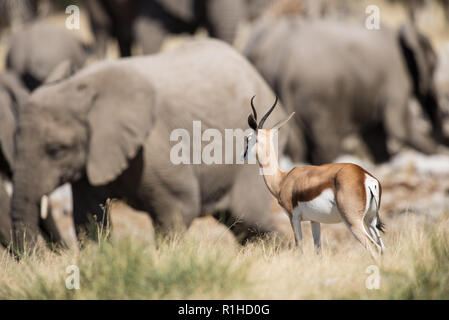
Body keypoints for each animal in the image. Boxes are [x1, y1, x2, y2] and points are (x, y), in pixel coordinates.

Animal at [9, 39, 294, 250]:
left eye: (56, 151)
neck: (78, 87)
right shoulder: (90, 160)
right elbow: (89, 219)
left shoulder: (154, 145)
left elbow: (179, 210)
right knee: (243, 226)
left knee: (249, 219)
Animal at [242, 96, 384, 258]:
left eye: (248, 138)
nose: (243, 156)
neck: (283, 180)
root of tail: (365, 177)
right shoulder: (314, 221)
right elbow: (318, 251)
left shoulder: (293, 218)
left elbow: (300, 248)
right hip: (370, 221)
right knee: (382, 248)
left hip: (353, 222)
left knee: (374, 248)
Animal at [243, 17, 446, 164]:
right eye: (434, 65)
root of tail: (282, 65)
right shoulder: (396, 77)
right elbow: (399, 127)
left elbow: (375, 134)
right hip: (322, 97)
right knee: (328, 143)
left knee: (297, 144)